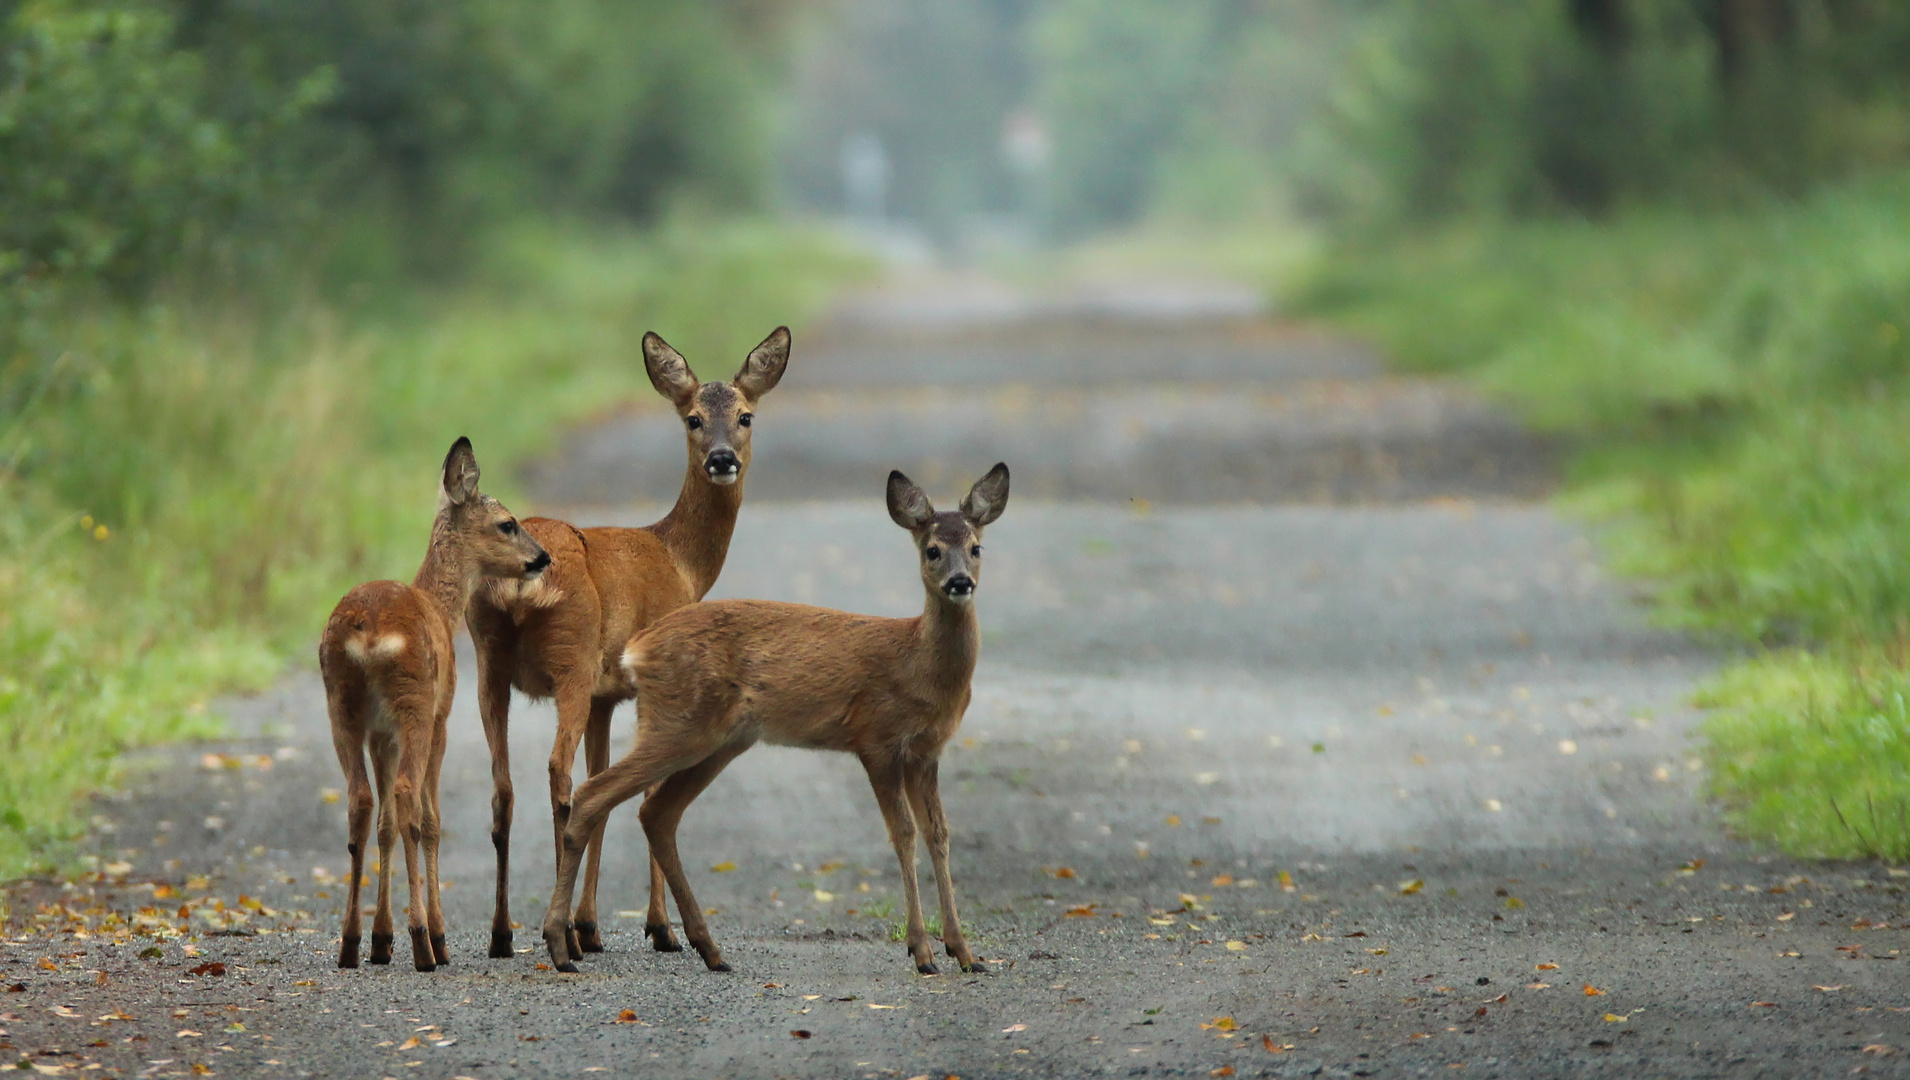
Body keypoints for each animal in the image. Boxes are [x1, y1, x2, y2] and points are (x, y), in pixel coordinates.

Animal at [320, 435, 553, 967]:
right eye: (507, 523)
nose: (543, 557)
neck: (443, 612)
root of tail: (367, 631)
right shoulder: (442, 717)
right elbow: (429, 820)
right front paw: (432, 935)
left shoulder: (380, 734)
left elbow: (386, 824)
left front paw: (381, 940)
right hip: (417, 704)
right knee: (410, 798)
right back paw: (426, 942)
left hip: (341, 705)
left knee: (361, 800)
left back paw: (350, 944)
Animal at [467, 324, 790, 955]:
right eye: (692, 418)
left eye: (745, 416)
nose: (721, 459)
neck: (680, 561)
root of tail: (517, 582)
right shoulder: (653, 680)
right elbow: (641, 791)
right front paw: (656, 927)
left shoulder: (605, 695)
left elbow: (606, 783)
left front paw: (591, 923)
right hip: (569, 657)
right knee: (558, 776)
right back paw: (558, 939)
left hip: (488, 663)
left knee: (503, 789)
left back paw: (502, 934)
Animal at [534, 462, 1008, 978]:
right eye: (932, 550)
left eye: (977, 548)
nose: (960, 582)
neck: (918, 661)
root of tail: (637, 649)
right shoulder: (876, 737)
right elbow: (903, 834)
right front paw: (921, 952)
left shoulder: (927, 750)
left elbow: (939, 834)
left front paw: (965, 953)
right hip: (678, 724)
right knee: (593, 795)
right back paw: (561, 945)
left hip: (720, 739)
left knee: (656, 812)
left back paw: (708, 948)